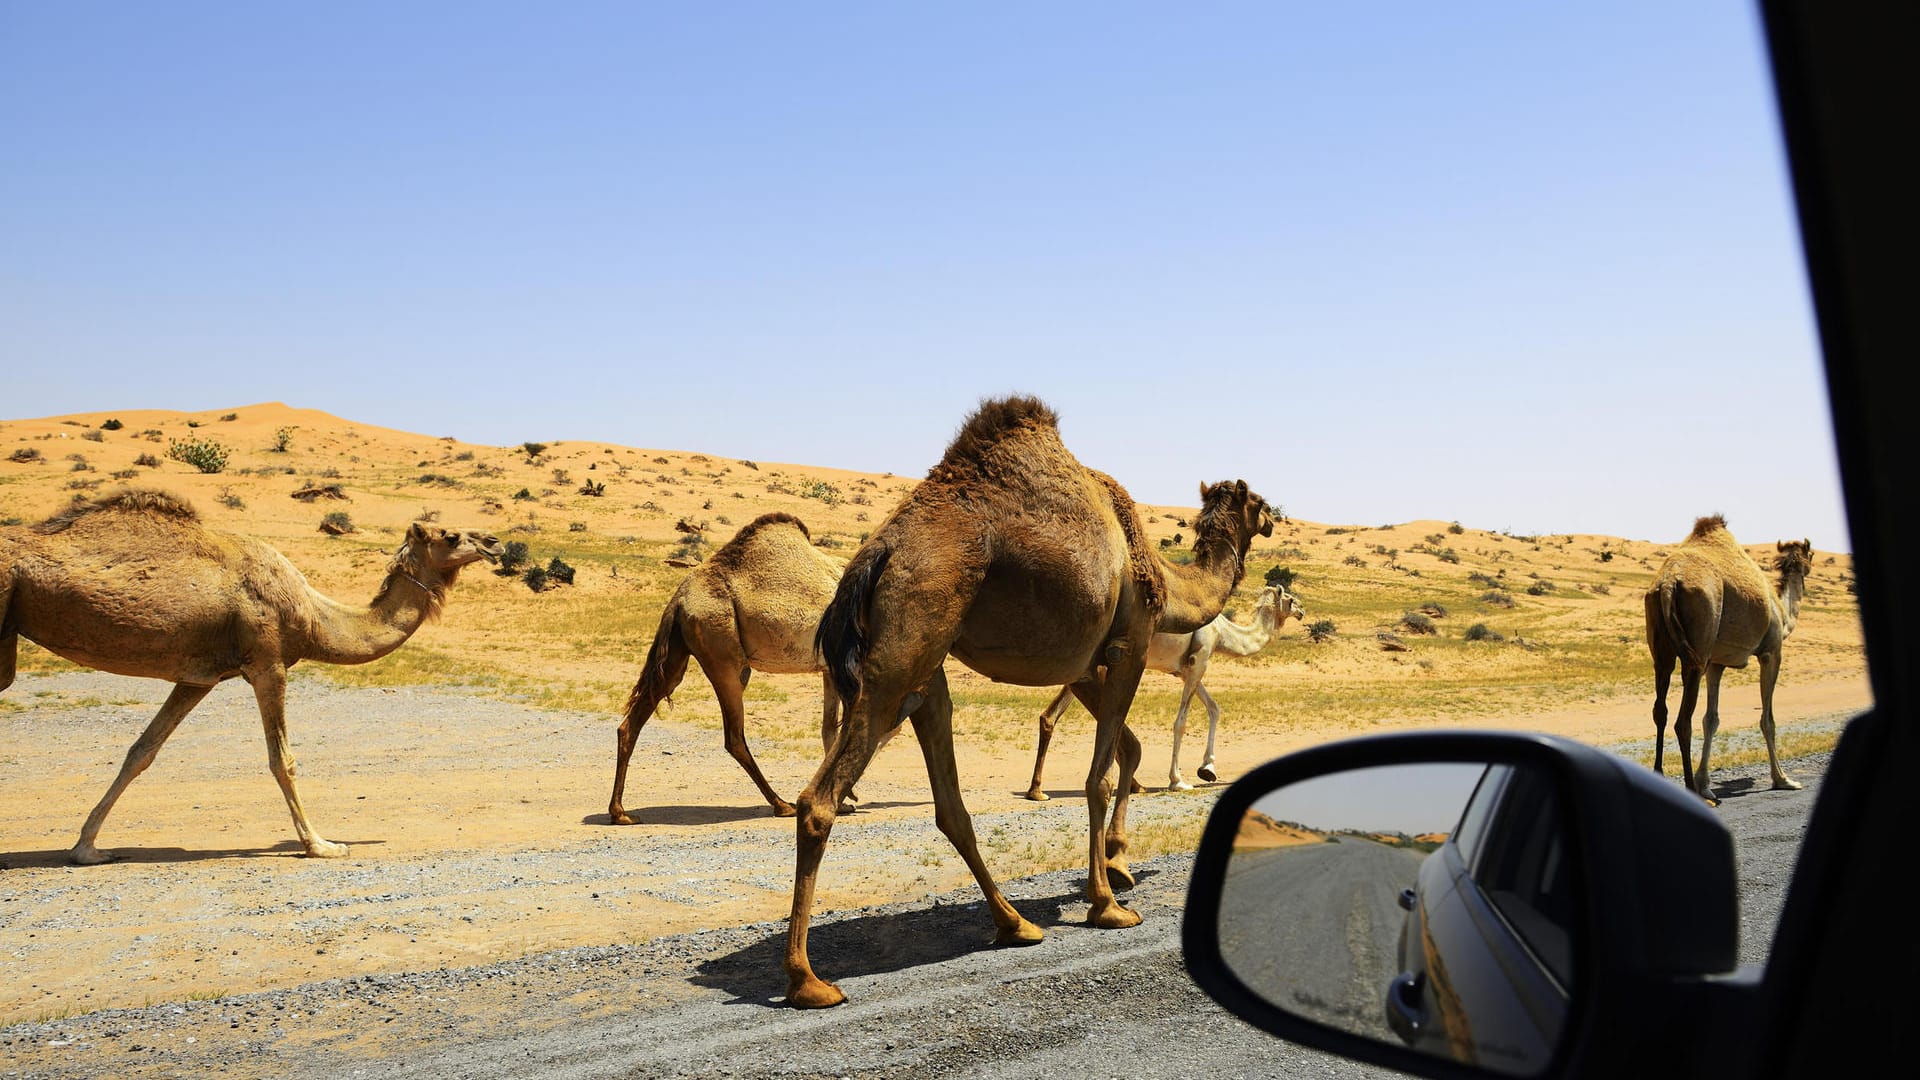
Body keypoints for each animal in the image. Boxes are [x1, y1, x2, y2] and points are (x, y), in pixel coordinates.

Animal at [0, 491, 503, 860]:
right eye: (451, 536)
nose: (495, 542)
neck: (314, 615)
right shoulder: (268, 662)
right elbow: (283, 759)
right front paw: (321, 845)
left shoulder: (198, 677)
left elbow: (141, 752)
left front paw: (86, 848)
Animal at [606, 507, 848, 818]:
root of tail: (678, 599)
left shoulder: (830, 668)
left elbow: (830, 727)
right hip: (724, 656)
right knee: (734, 735)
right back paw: (782, 804)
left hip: (678, 654)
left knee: (634, 719)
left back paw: (620, 812)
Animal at [779, 397, 1274, 1006]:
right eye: (1258, 502)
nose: (1276, 516)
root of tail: (879, 552)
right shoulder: (1130, 643)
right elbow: (1098, 777)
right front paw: (1108, 904)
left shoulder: (1084, 664)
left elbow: (1128, 752)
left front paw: (1117, 864)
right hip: (907, 642)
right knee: (819, 799)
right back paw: (808, 979)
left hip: (925, 664)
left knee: (950, 803)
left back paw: (1015, 923)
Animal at [1021, 580, 1305, 799]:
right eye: (1290, 599)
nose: (1302, 610)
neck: (1222, 633)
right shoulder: (1200, 659)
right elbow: (1181, 722)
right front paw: (1178, 780)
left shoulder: (1184, 670)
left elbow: (1214, 708)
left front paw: (1208, 769)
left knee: (1051, 715)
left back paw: (1037, 791)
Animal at [1651, 511, 1812, 799]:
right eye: (1810, 556)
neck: (1783, 613)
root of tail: (1668, 584)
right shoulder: (1771, 652)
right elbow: (1767, 720)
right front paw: (1783, 779)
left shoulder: (1717, 663)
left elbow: (1711, 719)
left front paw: (1705, 783)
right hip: (1699, 642)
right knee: (1683, 721)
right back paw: (1690, 788)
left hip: (1662, 646)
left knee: (1661, 709)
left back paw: (1663, 777)